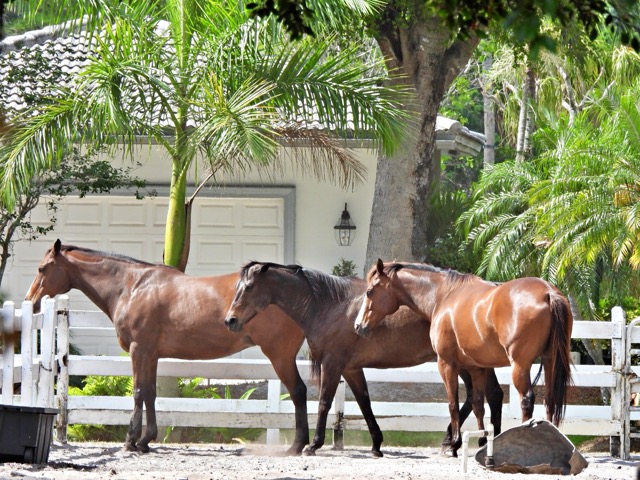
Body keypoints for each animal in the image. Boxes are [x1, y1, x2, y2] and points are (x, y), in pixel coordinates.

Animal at [25, 240, 310, 454]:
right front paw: (146, 440)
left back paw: (299, 445)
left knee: (298, 392)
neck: (132, 286)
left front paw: (131, 440)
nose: (31, 301)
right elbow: (150, 393)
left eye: (42, 268)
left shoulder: (138, 350)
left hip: (280, 356)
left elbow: (138, 392)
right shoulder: (151, 355)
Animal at [223, 261, 504, 457]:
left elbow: (324, 402)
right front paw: (376, 445)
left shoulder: (332, 364)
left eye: (248, 287)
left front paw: (314, 445)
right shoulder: (351, 369)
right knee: (479, 396)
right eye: (237, 287)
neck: (329, 307)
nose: (230, 320)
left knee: (489, 395)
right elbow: (364, 403)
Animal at [354, 259, 573, 457]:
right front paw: (482, 440)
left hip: (520, 365)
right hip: (550, 361)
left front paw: (454, 444)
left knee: (526, 400)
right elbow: (478, 403)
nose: (358, 326)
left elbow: (453, 403)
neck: (444, 295)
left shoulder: (447, 364)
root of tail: (548, 293)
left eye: (369, 292)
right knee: (550, 399)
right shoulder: (476, 367)